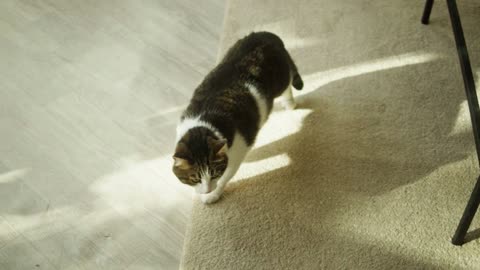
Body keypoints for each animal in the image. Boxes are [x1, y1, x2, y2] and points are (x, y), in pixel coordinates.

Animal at [171, 31, 302, 204]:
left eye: (214, 173)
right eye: (194, 178)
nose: (207, 190)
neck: (206, 124)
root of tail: (266, 35)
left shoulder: (237, 152)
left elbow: (226, 176)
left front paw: (212, 195)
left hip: (281, 78)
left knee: (288, 83)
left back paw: (289, 103)